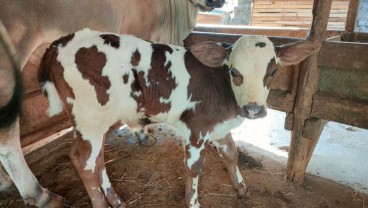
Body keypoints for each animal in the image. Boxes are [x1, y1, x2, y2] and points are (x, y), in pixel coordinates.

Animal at [38, 28, 320, 208]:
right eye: (234, 71)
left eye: (273, 72)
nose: (252, 109)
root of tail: (61, 41)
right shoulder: (196, 127)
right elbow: (194, 168)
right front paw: (193, 202)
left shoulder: (219, 125)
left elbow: (231, 154)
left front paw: (241, 188)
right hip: (88, 119)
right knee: (82, 159)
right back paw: (100, 203)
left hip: (101, 121)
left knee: (97, 158)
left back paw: (114, 199)